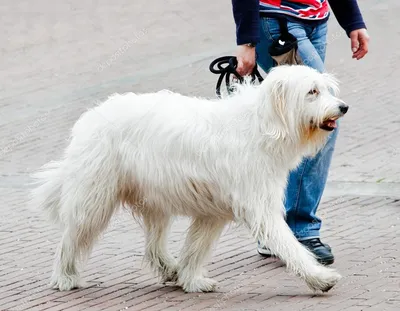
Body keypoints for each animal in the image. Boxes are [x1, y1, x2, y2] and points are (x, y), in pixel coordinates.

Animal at [30, 64, 346, 294]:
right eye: (312, 91)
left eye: (325, 88)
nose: (343, 107)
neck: (263, 126)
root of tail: (92, 115)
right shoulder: (259, 207)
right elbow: (290, 244)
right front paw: (319, 277)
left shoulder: (213, 211)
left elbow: (196, 247)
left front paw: (192, 280)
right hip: (94, 197)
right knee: (72, 236)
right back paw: (64, 276)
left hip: (154, 199)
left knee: (153, 246)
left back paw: (170, 269)